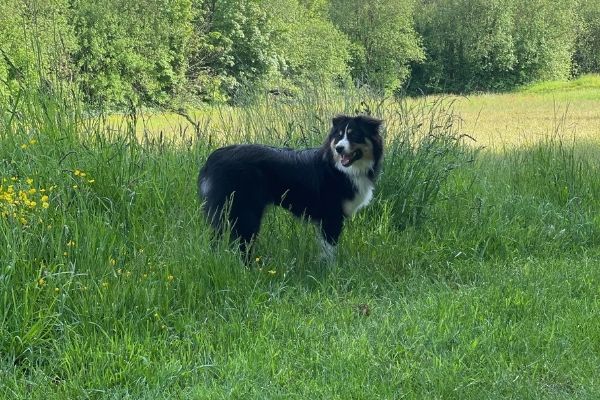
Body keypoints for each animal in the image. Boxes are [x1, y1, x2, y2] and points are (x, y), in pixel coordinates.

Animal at [198, 114, 384, 260]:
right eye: (338, 137)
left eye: (355, 135)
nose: (339, 148)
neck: (338, 168)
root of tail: (213, 158)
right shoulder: (331, 217)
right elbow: (329, 250)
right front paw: (330, 271)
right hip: (245, 212)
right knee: (243, 245)